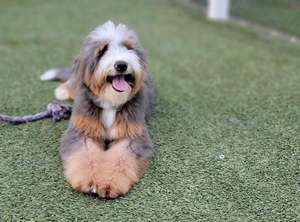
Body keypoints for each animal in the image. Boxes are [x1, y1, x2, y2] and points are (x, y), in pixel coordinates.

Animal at [40, 20, 155, 198]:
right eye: (103, 50)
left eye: (128, 47)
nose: (121, 65)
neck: (110, 101)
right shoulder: (82, 131)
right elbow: (85, 155)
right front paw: (89, 181)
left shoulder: (132, 136)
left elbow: (121, 159)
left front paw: (109, 183)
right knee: (72, 81)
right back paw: (62, 90)